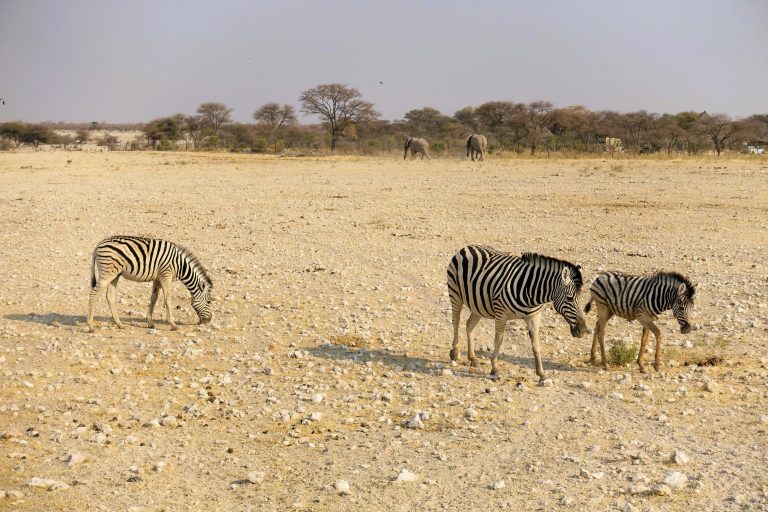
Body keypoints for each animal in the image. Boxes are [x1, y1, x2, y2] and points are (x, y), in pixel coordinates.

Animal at [447, 245, 587, 380]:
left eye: (581, 298)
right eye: (569, 298)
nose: (583, 330)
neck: (532, 292)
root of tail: (467, 247)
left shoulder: (534, 317)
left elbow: (536, 345)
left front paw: (541, 373)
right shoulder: (501, 314)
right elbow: (499, 340)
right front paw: (495, 368)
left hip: (479, 305)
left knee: (469, 325)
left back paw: (472, 358)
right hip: (455, 295)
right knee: (456, 322)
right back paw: (455, 352)